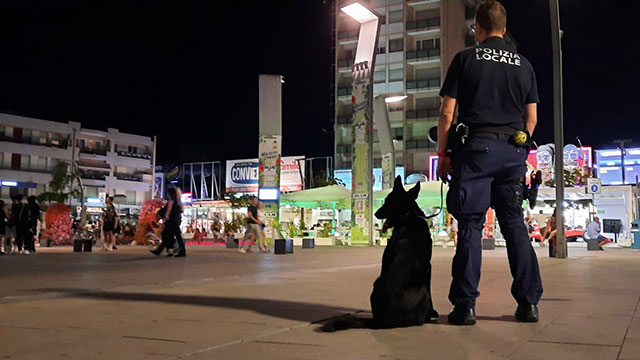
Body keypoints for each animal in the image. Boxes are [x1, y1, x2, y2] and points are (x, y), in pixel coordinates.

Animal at [370, 176, 440, 328]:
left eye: (388, 201)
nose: (375, 214)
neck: (408, 216)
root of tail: (386, 321)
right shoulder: (428, 267)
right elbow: (431, 291)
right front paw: (432, 312)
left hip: (376, 283)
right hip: (422, 291)